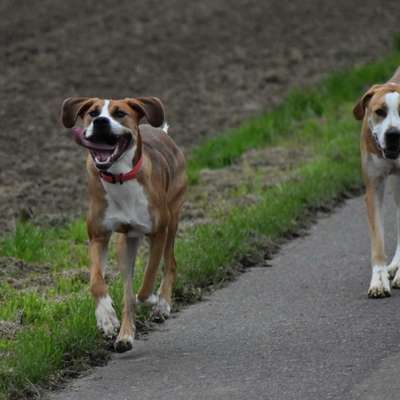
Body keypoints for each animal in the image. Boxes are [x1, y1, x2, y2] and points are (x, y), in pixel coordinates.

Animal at [61, 96, 187, 350]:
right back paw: (125, 336)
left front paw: (152, 299)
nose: (100, 121)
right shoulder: (98, 236)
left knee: (170, 263)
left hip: (173, 217)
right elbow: (96, 282)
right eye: (92, 112)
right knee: (127, 292)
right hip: (126, 242)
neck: (119, 177)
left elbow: (148, 279)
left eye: (119, 113)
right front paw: (107, 319)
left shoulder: (158, 232)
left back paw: (162, 304)